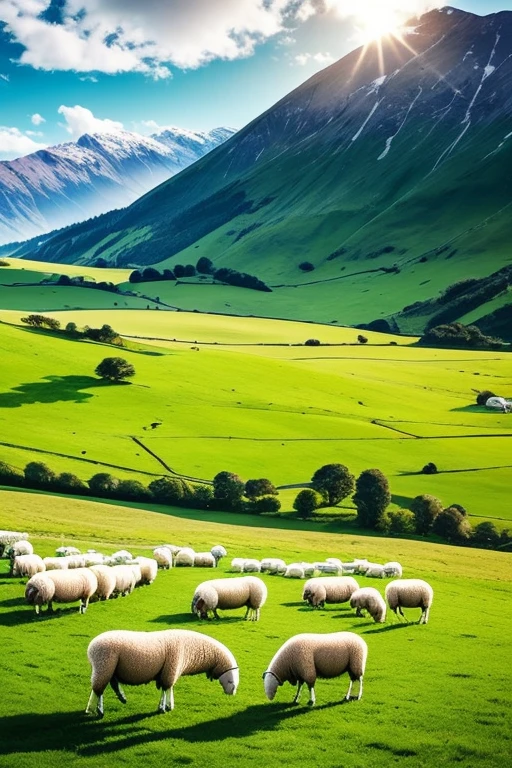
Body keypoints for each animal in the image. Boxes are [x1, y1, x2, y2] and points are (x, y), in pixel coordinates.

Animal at [86, 628, 240, 716]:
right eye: (230, 680)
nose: (232, 693)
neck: (191, 650)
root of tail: (91, 647)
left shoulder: (168, 671)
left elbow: (167, 689)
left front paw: (166, 705)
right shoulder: (171, 670)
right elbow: (166, 689)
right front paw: (164, 707)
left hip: (110, 668)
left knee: (112, 684)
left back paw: (121, 698)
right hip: (104, 665)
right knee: (98, 690)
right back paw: (96, 709)